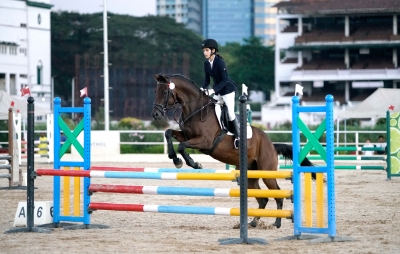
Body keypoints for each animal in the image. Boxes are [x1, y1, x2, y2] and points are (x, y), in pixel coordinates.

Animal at [151, 74, 316, 230]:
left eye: (164, 92)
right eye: (155, 91)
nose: (156, 115)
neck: (196, 109)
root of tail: (271, 144)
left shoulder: (205, 141)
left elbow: (182, 146)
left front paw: (193, 163)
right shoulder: (186, 135)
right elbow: (169, 133)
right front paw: (175, 159)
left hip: (267, 172)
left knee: (278, 194)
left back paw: (277, 222)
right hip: (251, 177)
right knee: (263, 199)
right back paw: (253, 222)